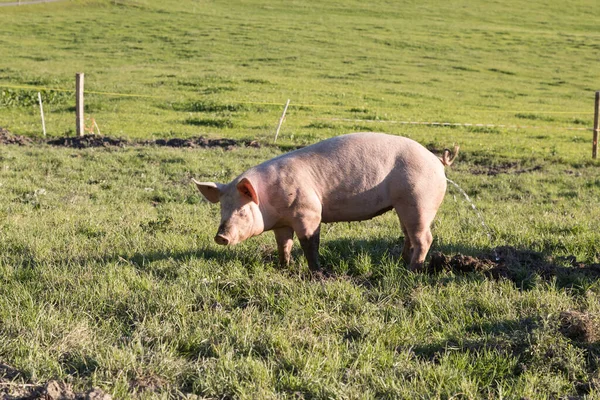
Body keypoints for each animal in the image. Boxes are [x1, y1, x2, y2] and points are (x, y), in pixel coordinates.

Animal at [195, 131, 458, 272]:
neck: (270, 199)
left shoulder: (309, 213)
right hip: (403, 206)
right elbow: (284, 245)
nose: (220, 236)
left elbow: (310, 244)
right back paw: (400, 262)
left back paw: (412, 270)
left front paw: (317, 271)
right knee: (408, 236)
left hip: (419, 201)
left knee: (424, 238)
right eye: (222, 209)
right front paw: (284, 267)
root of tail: (437, 161)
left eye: (242, 211)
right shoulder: (282, 223)